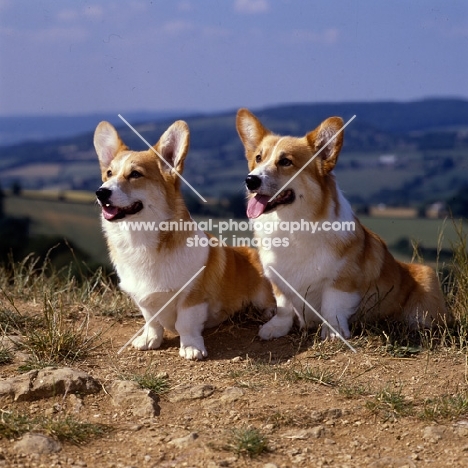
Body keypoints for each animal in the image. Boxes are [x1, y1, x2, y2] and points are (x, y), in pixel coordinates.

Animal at [93, 119, 276, 358]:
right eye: (108, 173)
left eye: (135, 174)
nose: (100, 192)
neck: (140, 239)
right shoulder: (144, 300)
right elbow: (152, 321)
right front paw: (150, 339)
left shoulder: (193, 298)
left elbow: (185, 324)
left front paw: (191, 348)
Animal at [238, 109, 450, 342]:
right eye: (258, 158)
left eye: (285, 161)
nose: (250, 180)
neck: (291, 225)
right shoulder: (278, 279)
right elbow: (283, 305)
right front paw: (276, 328)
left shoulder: (341, 281)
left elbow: (333, 307)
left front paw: (333, 333)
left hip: (427, 278)